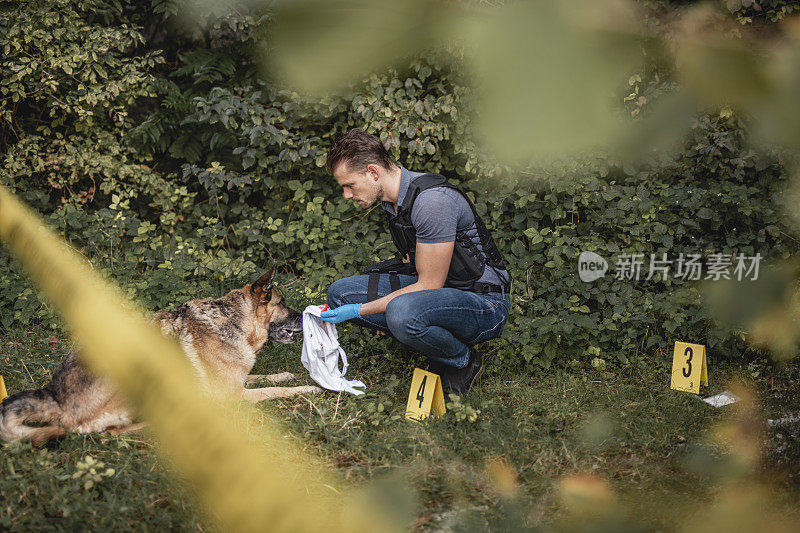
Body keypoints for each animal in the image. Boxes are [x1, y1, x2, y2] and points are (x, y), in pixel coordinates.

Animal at [0, 266, 318, 444]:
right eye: (283, 303)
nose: (303, 317)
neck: (234, 320)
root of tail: (55, 393)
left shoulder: (239, 380)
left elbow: (265, 377)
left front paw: (286, 374)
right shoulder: (233, 395)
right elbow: (276, 391)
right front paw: (307, 388)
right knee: (109, 432)